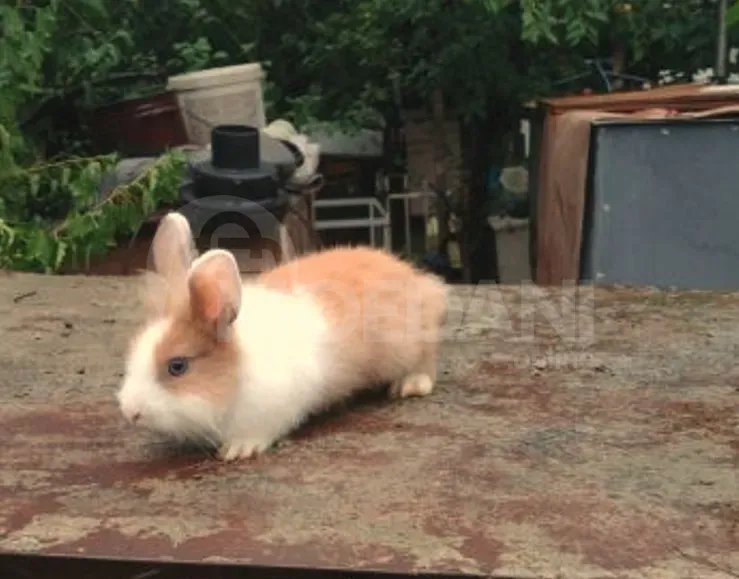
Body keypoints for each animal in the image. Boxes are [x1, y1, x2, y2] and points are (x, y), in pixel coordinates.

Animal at [116, 211, 448, 461]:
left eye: (177, 366)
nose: (130, 412)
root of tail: (419, 282)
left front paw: (238, 450)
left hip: (407, 346)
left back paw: (410, 385)